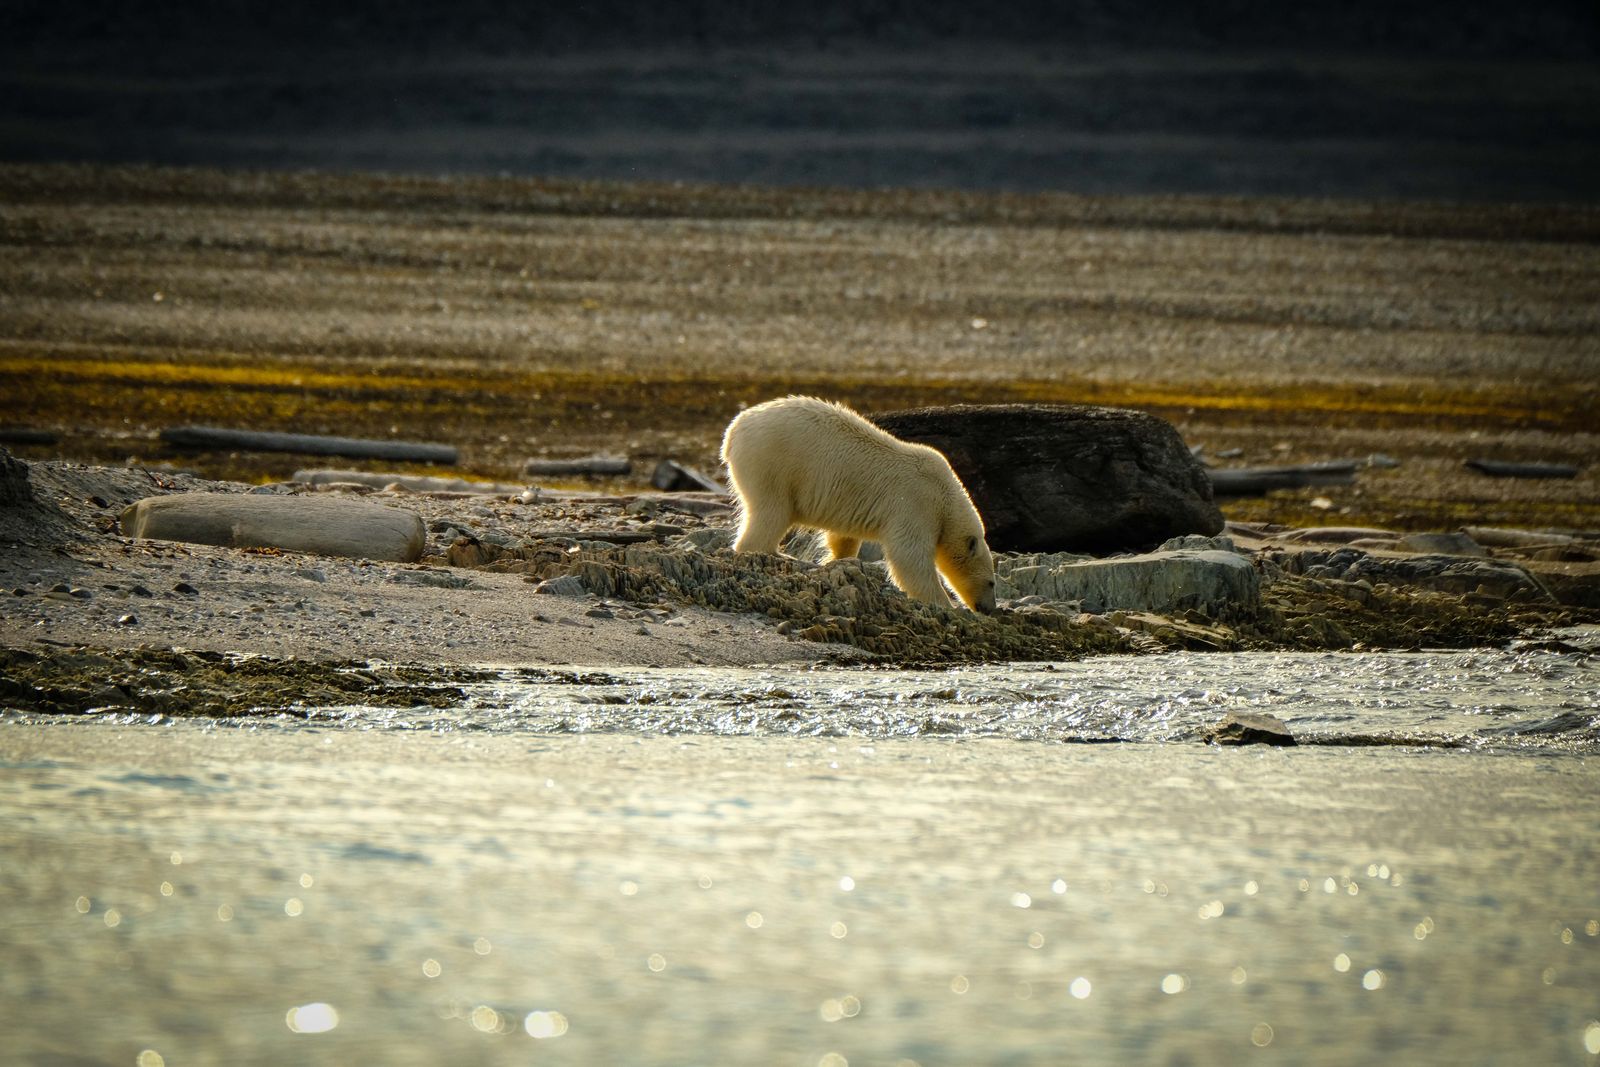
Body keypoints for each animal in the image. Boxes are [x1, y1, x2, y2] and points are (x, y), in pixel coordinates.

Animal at [720, 395, 997, 613]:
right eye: (992, 583)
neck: (946, 497)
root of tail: (732, 432)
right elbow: (910, 557)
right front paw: (945, 604)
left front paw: (836, 559)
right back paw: (774, 551)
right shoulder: (917, 504)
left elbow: (842, 537)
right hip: (772, 463)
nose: (989, 609)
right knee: (772, 510)